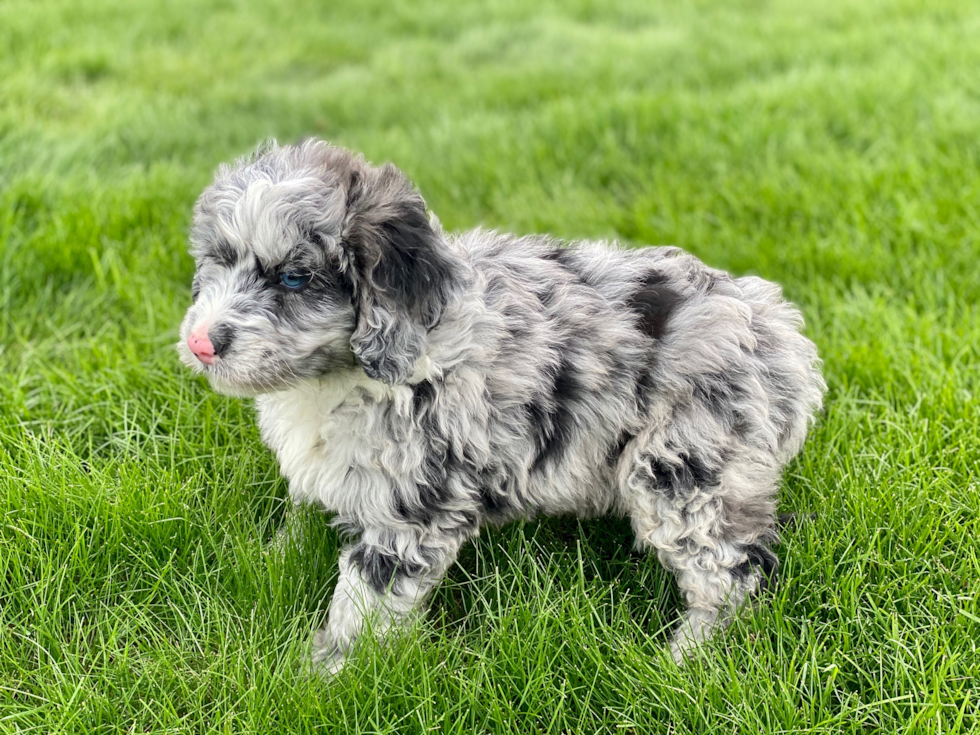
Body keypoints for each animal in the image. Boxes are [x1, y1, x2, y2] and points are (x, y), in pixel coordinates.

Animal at [178, 141, 828, 676]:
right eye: (217, 261)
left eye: (293, 277)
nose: (201, 343)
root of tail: (782, 335)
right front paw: (269, 562)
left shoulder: (413, 506)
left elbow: (363, 602)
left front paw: (322, 676)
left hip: (684, 468)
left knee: (734, 571)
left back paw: (684, 663)